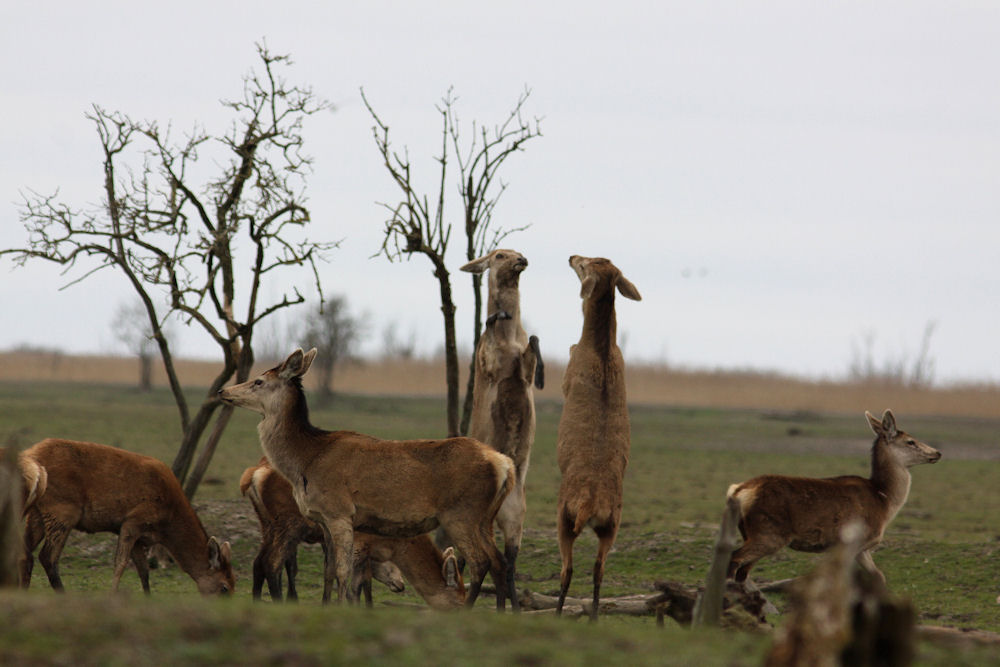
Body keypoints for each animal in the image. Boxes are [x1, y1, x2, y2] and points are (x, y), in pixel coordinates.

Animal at [19, 438, 235, 595]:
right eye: (224, 587)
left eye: (234, 583)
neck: (166, 524)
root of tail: (30, 456)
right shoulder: (132, 521)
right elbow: (121, 563)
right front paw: (113, 594)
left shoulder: (141, 536)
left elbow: (143, 569)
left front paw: (148, 596)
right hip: (63, 509)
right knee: (47, 556)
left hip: (37, 512)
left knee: (26, 551)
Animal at [240, 457, 406, 604]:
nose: (401, 584)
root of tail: (256, 473)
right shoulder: (359, 544)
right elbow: (360, 581)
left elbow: (330, 572)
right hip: (289, 526)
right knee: (272, 563)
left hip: (268, 526)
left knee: (258, 562)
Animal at [726, 409, 941, 586]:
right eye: (910, 441)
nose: (937, 452)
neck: (883, 500)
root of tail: (738, 490)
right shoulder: (850, 541)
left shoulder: (862, 548)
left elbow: (878, 576)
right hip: (769, 531)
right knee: (735, 557)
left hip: (751, 531)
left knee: (743, 570)